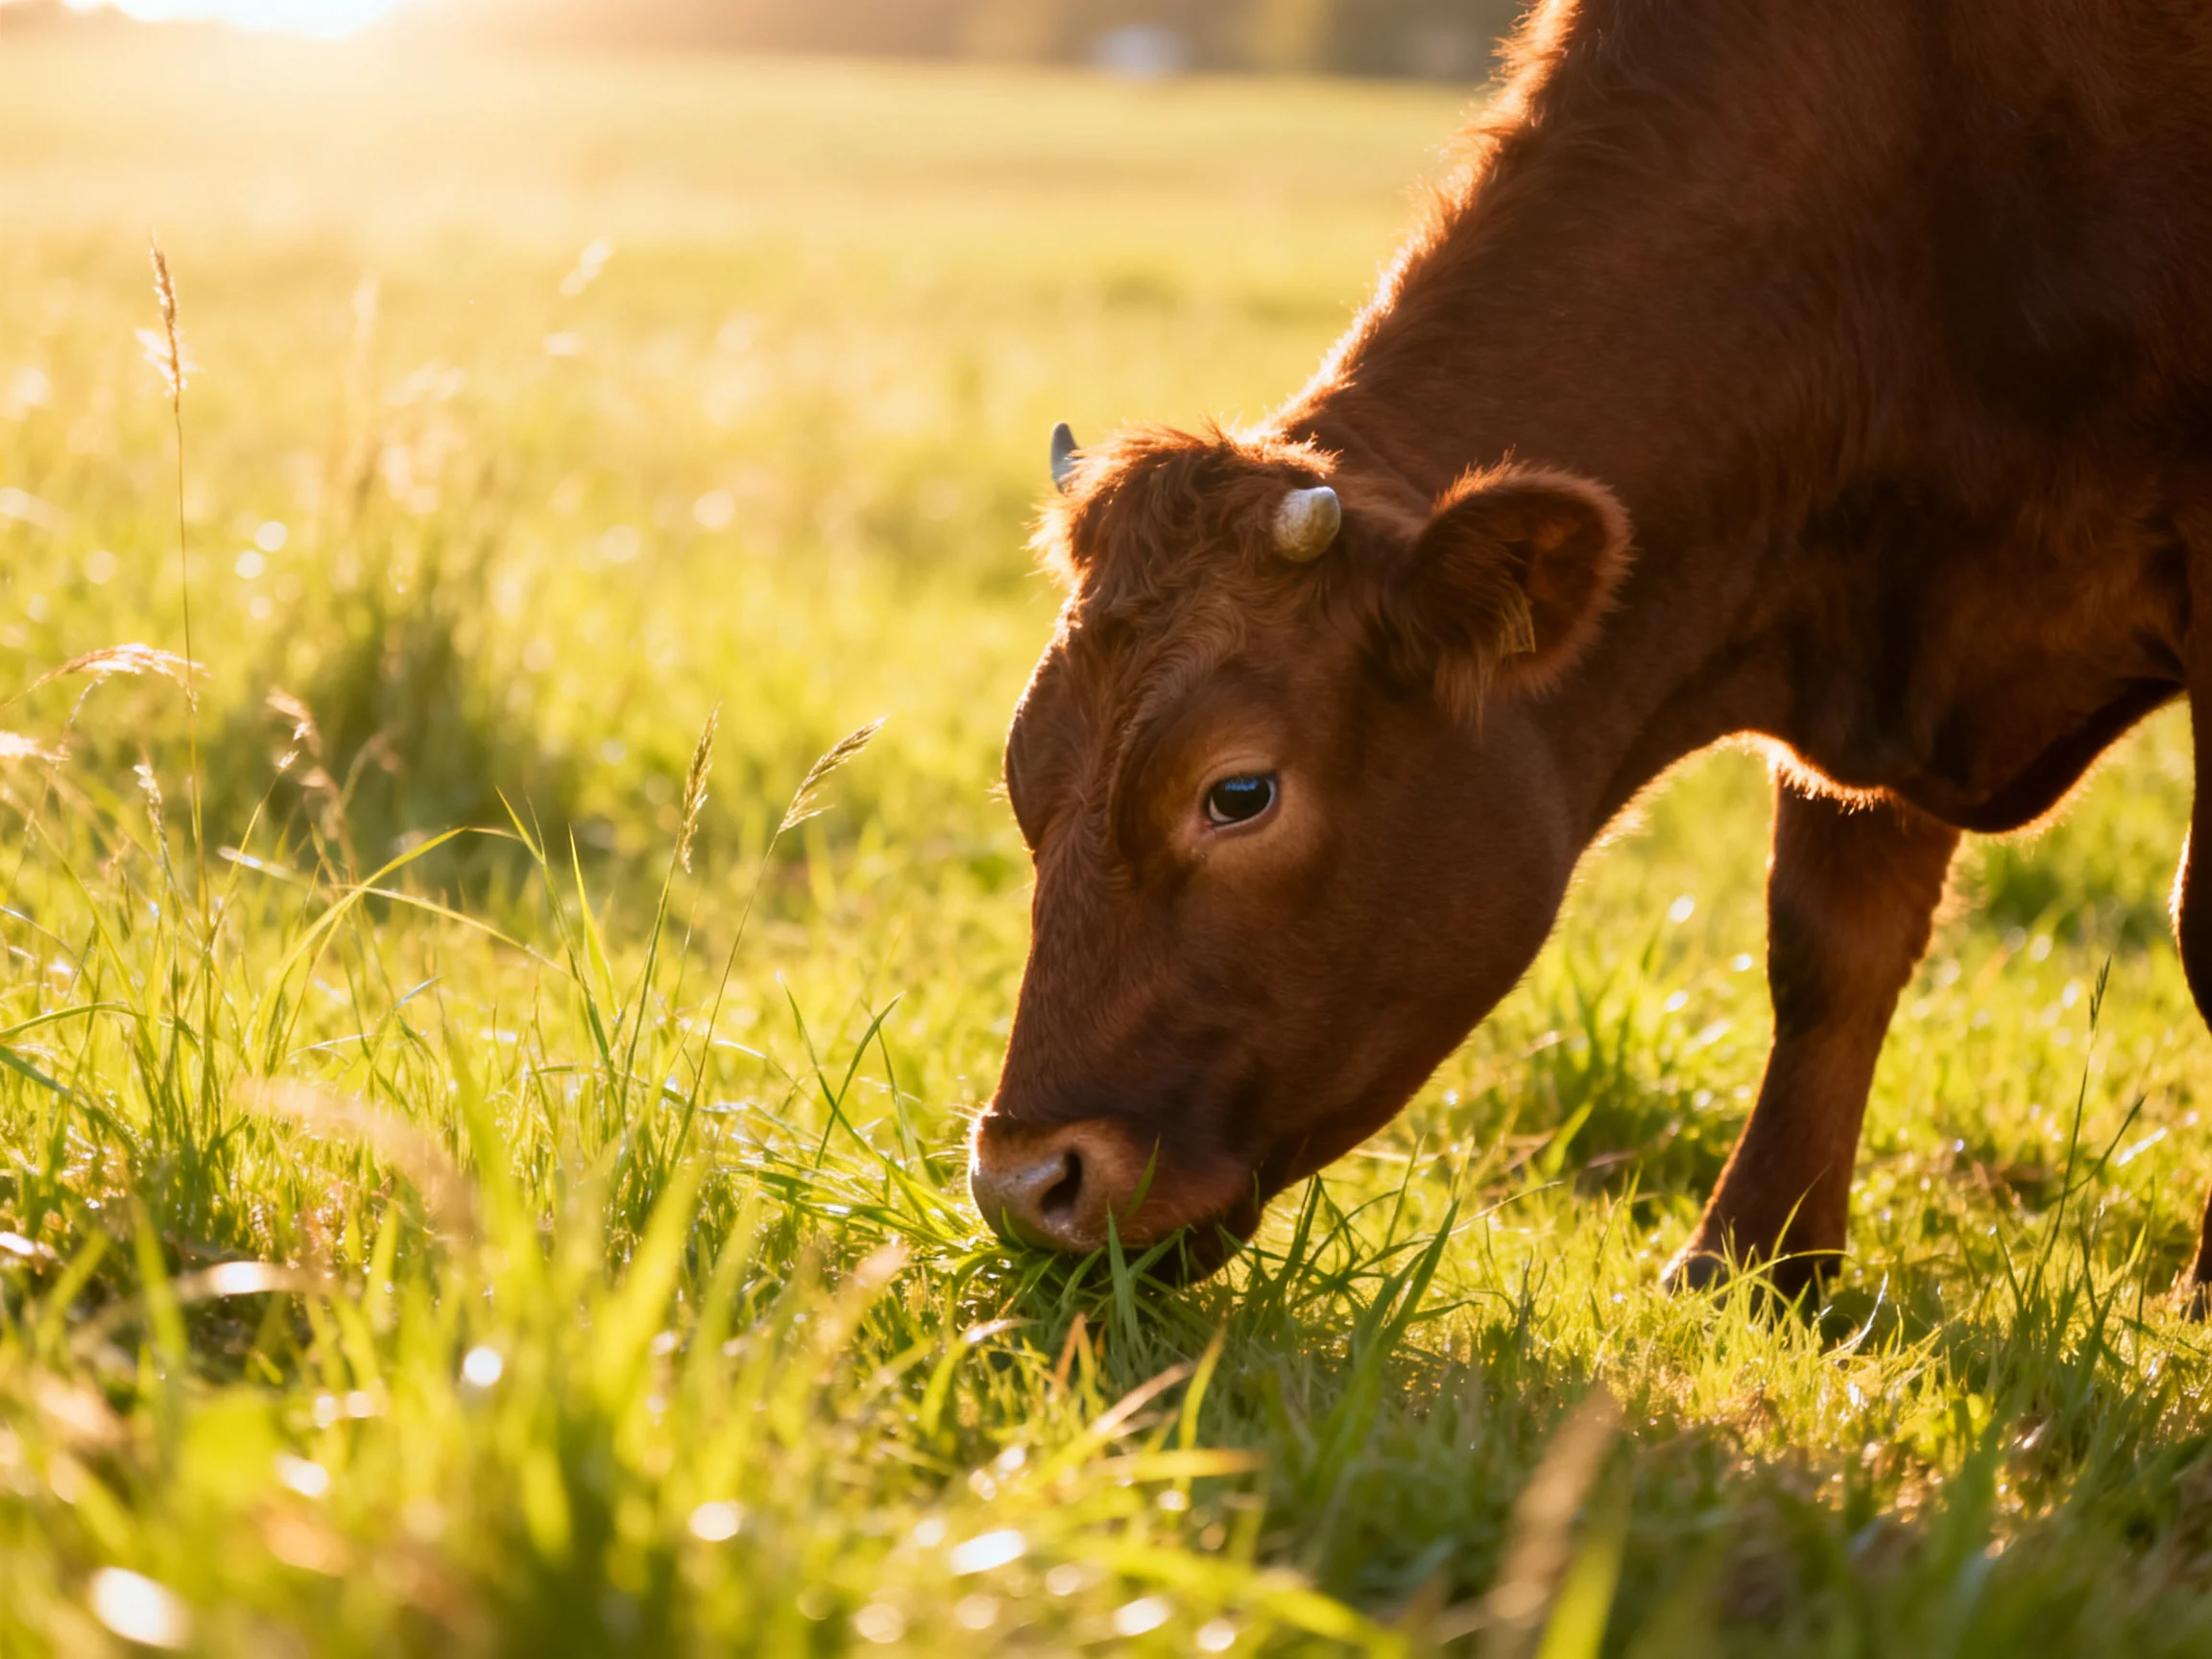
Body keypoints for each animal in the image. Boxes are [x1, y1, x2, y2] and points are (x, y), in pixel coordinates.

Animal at [966, 0, 2212, 1303]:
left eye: (1239, 792)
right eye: (1023, 775)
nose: (1024, 1182)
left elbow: (2203, 927)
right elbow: (1830, 946)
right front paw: (1758, 1258)